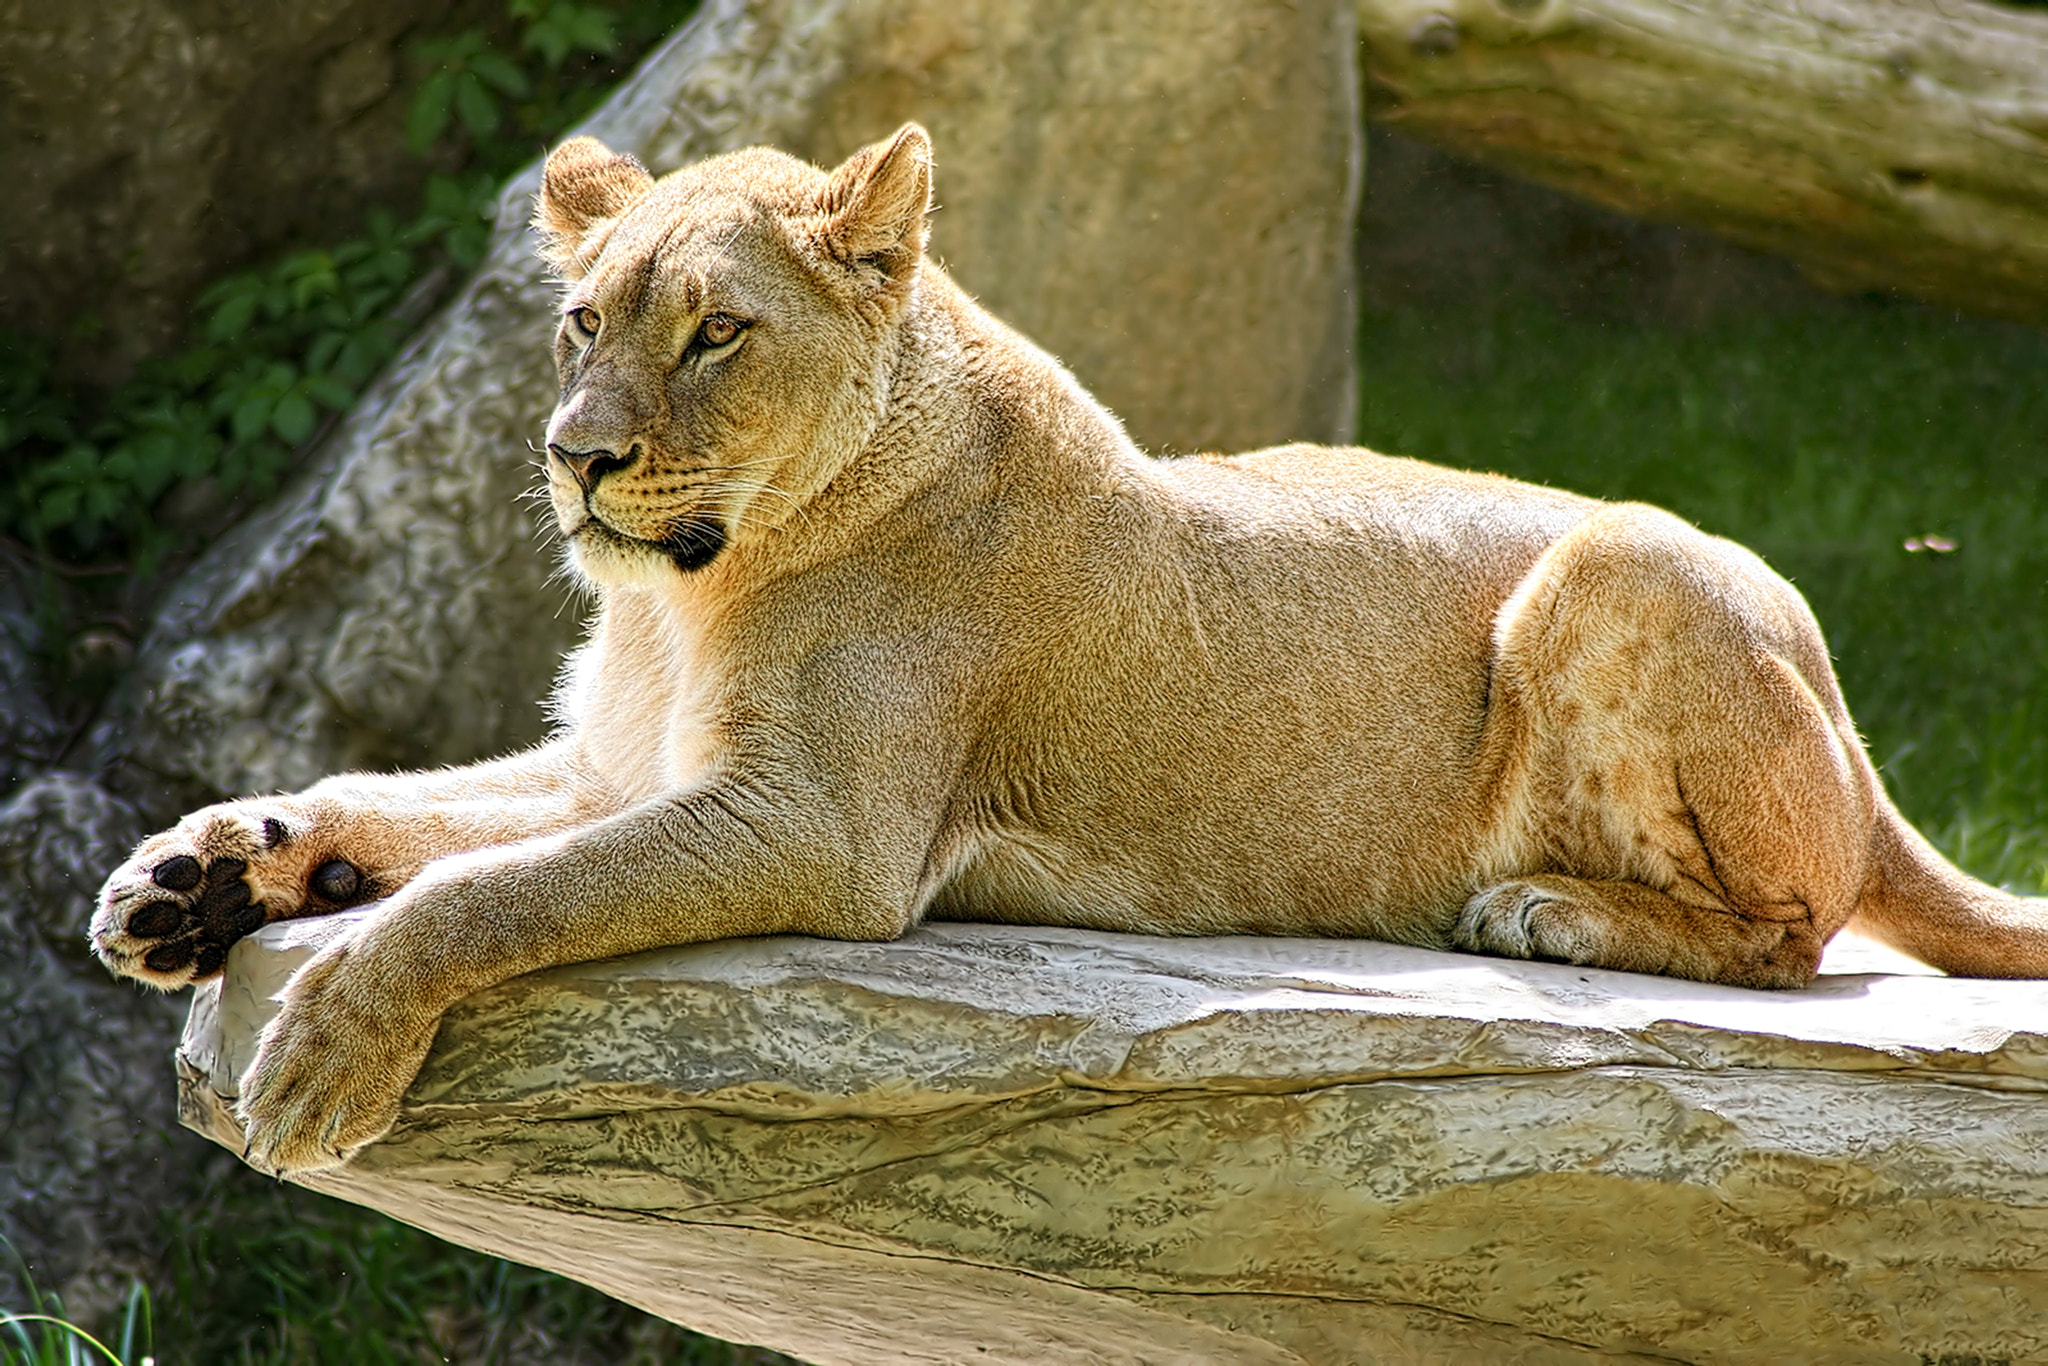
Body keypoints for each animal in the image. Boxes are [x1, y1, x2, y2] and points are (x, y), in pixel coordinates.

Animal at [93, 124, 2048, 1176]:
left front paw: (324, 1048)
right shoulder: (609, 764)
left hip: (1619, 556)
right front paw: (194, 875)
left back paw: (1547, 911)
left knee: (1799, 931)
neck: (678, 593)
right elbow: (402, 805)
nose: (578, 458)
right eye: (582, 322)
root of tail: (1852, 721)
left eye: (714, 333)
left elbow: (486, 893)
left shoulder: (820, 830)